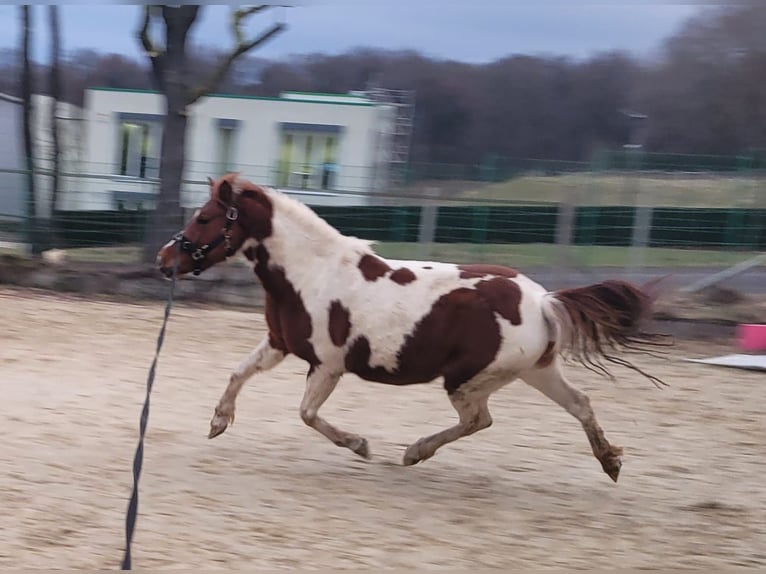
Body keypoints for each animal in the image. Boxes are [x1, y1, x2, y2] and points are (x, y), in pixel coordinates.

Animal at [158, 173, 672, 484]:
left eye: (204, 217)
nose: (165, 260)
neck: (312, 273)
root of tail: (543, 301)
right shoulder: (281, 344)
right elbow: (238, 372)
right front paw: (218, 422)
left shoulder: (327, 364)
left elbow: (306, 414)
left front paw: (360, 446)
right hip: (536, 370)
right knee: (580, 403)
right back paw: (611, 461)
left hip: (469, 379)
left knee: (479, 420)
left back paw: (414, 452)